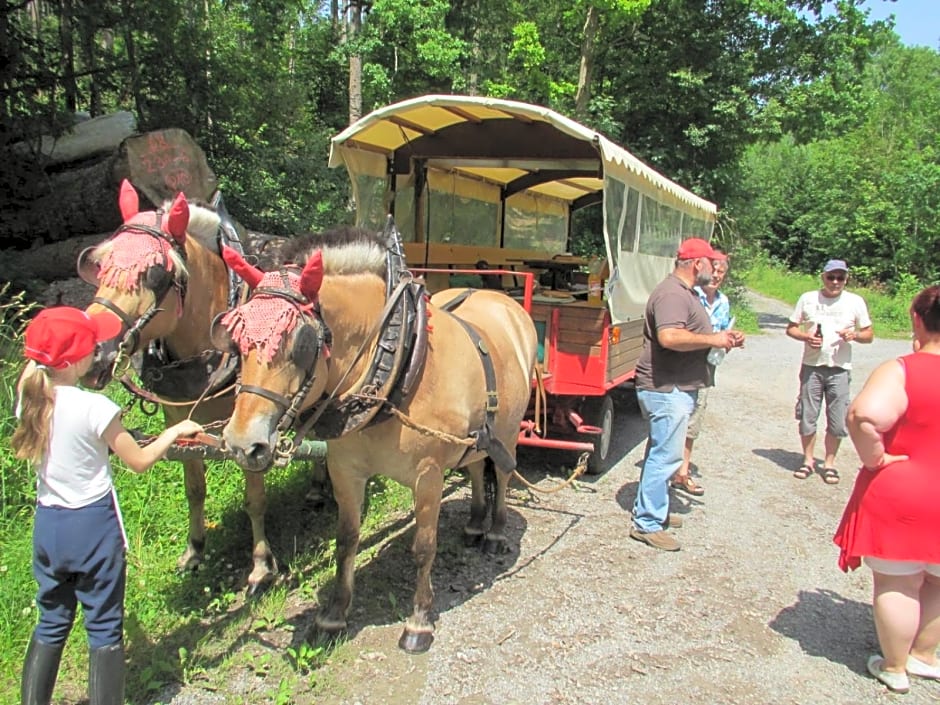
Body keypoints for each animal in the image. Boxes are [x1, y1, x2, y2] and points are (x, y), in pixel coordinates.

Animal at [213, 224, 536, 648]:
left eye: (300, 344)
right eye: (236, 340)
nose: (240, 442)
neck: (396, 366)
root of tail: (503, 300)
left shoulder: (429, 476)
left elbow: (424, 546)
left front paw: (419, 621)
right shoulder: (345, 469)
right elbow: (346, 539)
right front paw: (333, 615)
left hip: (510, 429)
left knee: (501, 471)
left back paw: (495, 531)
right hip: (477, 434)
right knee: (477, 467)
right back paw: (474, 524)